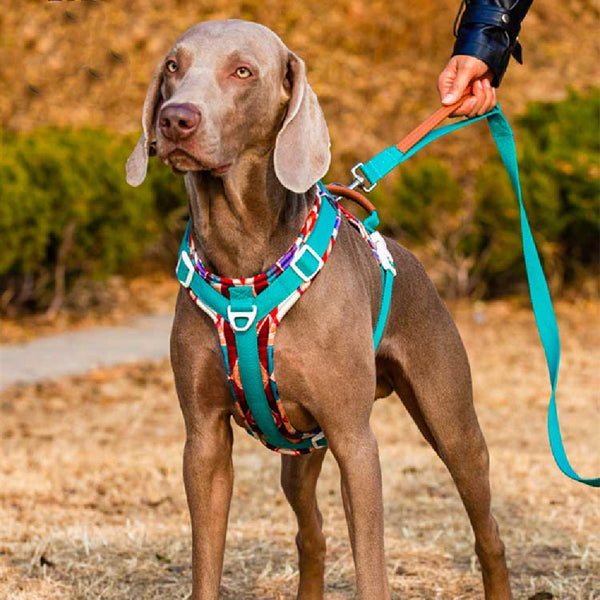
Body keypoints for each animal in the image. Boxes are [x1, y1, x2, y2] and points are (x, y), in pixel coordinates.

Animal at [125, 18, 510, 600]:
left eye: (243, 71)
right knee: (312, 533)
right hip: (300, 450)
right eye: (173, 66)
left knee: (487, 531)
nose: (176, 118)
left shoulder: (356, 441)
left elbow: (371, 567)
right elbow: (205, 564)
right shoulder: (203, 440)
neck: (242, 262)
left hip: (451, 423)